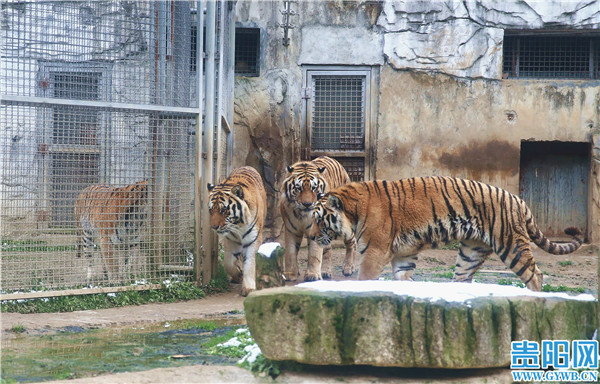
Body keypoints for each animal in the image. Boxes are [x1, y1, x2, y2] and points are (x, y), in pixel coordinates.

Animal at [207, 166, 266, 296]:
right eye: (211, 210)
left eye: (224, 210)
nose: (214, 227)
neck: (238, 224)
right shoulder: (231, 240)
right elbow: (228, 263)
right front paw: (238, 275)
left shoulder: (253, 240)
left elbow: (250, 263)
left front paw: (248, 288)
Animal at [312, 177, 584, 292]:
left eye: (319, 219)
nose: (312, 237)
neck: (354, 212)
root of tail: (519, 200)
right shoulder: (403, 255)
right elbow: (403, 279)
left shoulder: (375, 252)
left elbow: (364, 278)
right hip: (471, 251)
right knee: (462, 278)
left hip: (510, 244)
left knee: (536, 275)